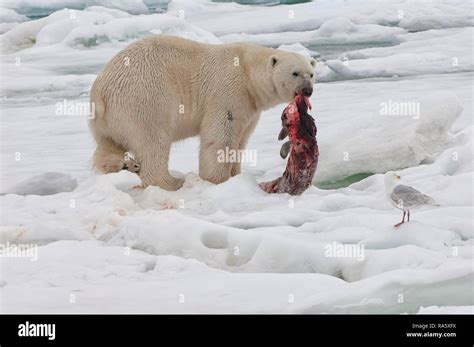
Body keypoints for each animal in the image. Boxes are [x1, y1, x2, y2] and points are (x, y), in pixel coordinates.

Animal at [89, 34, 314, 190]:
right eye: (295, 73)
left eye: (311, 73)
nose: (307, 90)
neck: (248, 72)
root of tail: (101, 89)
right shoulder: (229, 91)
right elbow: (220, 137)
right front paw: (218, 180)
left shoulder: (250, 107)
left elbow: (241, 139)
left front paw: (236, 174)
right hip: (146, 98)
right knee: (153, 141)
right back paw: (171, 181)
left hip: (108, 118)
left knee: (108, 145)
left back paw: (124, 165)